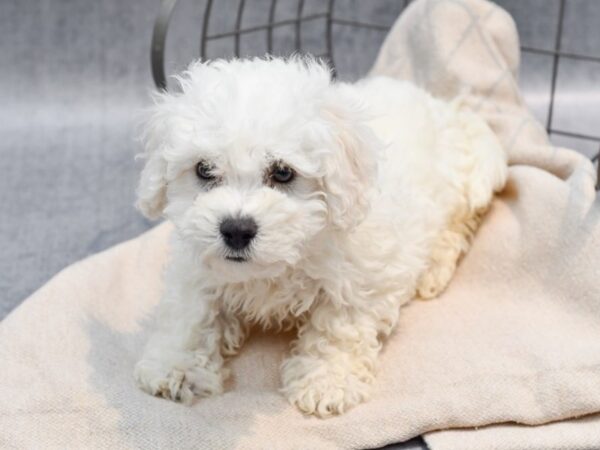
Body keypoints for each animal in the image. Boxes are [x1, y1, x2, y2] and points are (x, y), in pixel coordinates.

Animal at [132, 56, 506, 418]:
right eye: (204, 169)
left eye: (283, 172)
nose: (236, 230)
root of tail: (444, 108)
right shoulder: (196, 265)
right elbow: (191, 311)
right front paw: (176, 365)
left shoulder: (359, 275)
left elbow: (338, 325)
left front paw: (327, 381)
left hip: (463, 187)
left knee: (459, 224)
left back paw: (432, 272)